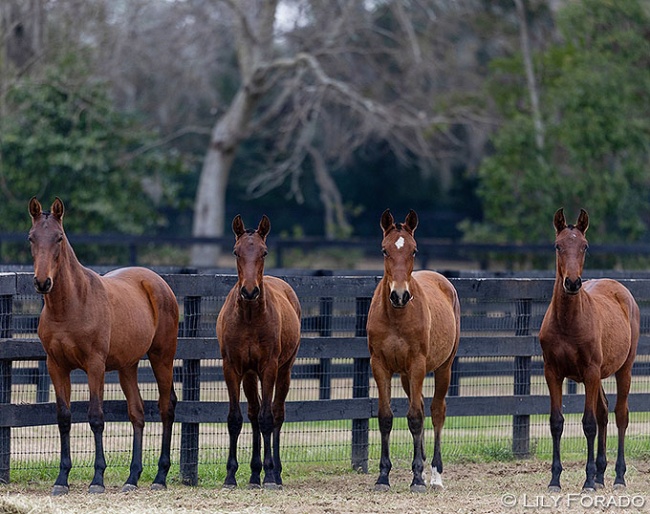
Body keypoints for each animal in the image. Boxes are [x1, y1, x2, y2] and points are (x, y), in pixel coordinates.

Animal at [28, 197, 179, 496]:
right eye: (31, 238)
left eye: (59, 238)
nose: (42, 282)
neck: (70, 305)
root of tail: (157, 282)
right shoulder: (56, 366)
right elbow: (64, 418)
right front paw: (61, 479)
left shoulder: (94, 365)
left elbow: (96, 416)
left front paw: (97, 479)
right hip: (128, 366)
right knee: (137, 413)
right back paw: (132, 477)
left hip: (162, 358)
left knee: (166, 407)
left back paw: (160, 476)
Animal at [216, 214, 301, 490]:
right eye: (236, 251)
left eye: (264, 252)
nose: (250, 291)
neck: (250, 317)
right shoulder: (232, 368)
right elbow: (236, 419)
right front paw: (230, 476)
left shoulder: (269, 367)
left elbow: (267, 418)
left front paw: (271, 475)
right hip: (250, 375)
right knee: (253, 414)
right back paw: (254, 474)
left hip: (283, 371)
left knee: (276, 414)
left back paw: (276, 473)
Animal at [366, 209, 460, 493]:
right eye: (384, 250)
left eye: (414, 250)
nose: (400, 295)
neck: (397, 316)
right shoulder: (380, 365)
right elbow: (386, 417)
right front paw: (383, 477)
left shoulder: (417, 364)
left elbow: (416, 418)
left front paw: (417, 478)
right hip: (407, 377)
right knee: (419, 405)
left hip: (443, 368)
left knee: (436, 412)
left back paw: (435, 475)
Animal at [539, 208, 639, 492]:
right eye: (558, 245)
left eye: (584, 245)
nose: (572, 283)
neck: (567, 322)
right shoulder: (553, 373)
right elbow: (557, 422)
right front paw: (555, 480)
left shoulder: (591, 372)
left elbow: (589, 423)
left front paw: (587, 481)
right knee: (604, 411)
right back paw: (601, 474)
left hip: (623, 369)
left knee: (619, 415)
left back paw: (617, 477)